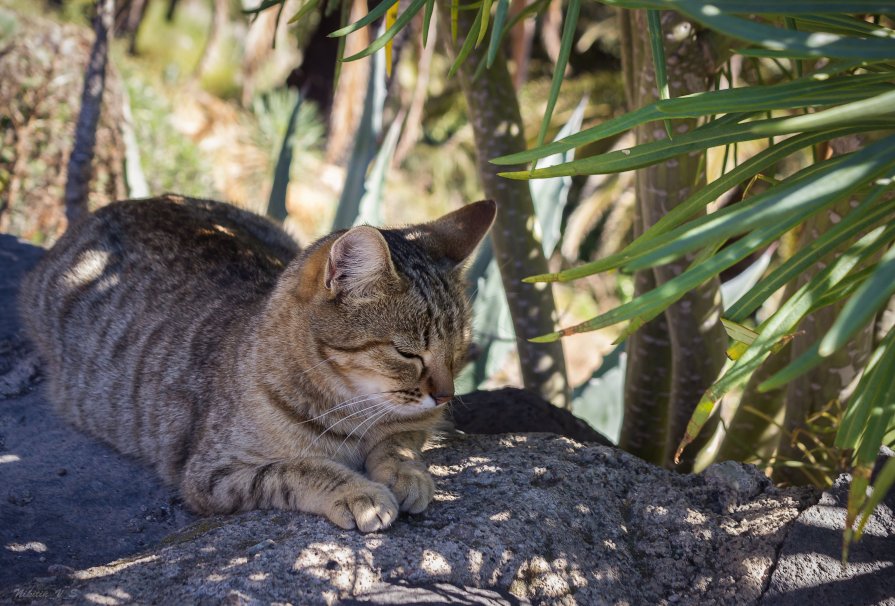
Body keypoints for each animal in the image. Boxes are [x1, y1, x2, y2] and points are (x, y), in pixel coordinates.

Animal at [19, 195, 496, 532]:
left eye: (457, 352)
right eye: (408, 353)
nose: (447, 395)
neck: (352, 409)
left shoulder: (417, 422)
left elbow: (401, 440)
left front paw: (405, 471)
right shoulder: (212, 474)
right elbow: (298, 469)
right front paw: (359, 493)